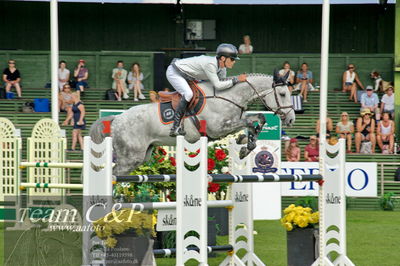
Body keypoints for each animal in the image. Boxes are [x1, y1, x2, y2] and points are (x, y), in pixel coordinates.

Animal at [91, 72, 296, 175]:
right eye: (283, 94)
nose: (291, 119)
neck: (229, 95)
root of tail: (117, 119)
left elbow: (258, 119)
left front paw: (244, 142)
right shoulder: (218, 128)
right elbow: (250, 120)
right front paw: (246, 145)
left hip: (141, 156)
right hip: (130, 157)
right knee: (114, 173)